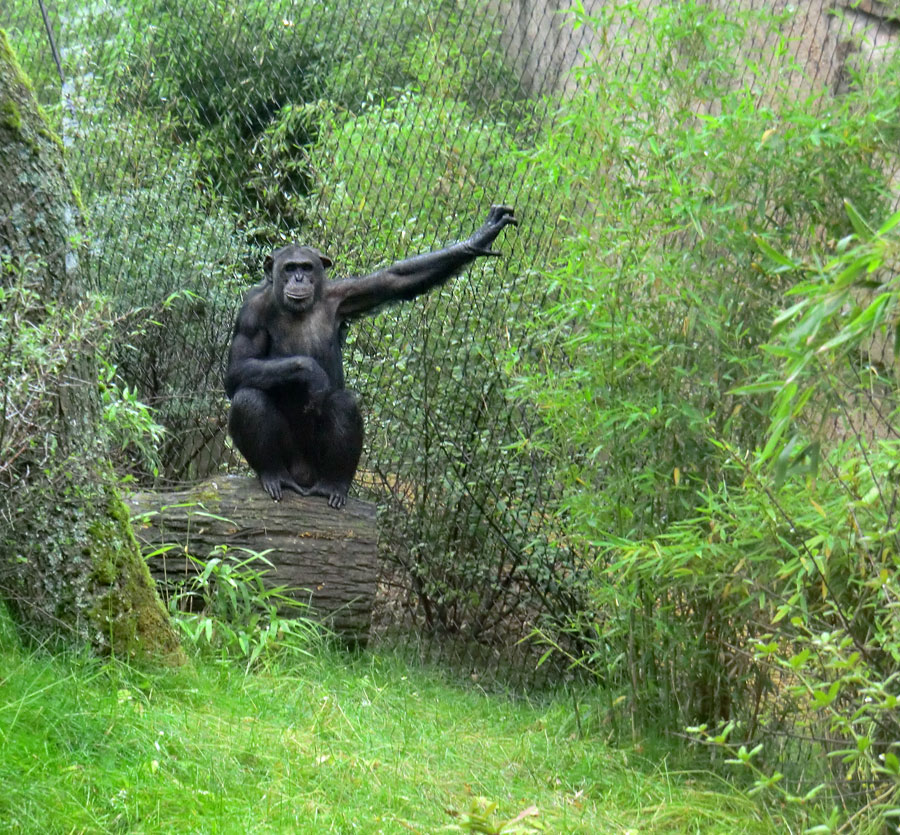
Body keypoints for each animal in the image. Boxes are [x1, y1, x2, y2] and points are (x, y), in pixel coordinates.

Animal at [227, 206, 520, 506]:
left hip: (317, 466)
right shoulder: (250, 312)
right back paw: (274, 475)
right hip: (291, 462)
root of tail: (304, 478)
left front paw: (479, 238)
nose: (299, 279)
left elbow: (394, 279)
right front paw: (310, 371)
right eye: (289, 268)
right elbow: (237, 370)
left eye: (306, 267)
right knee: (248, 397)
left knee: (344, 403)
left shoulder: (346, 294)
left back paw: (333, 485)